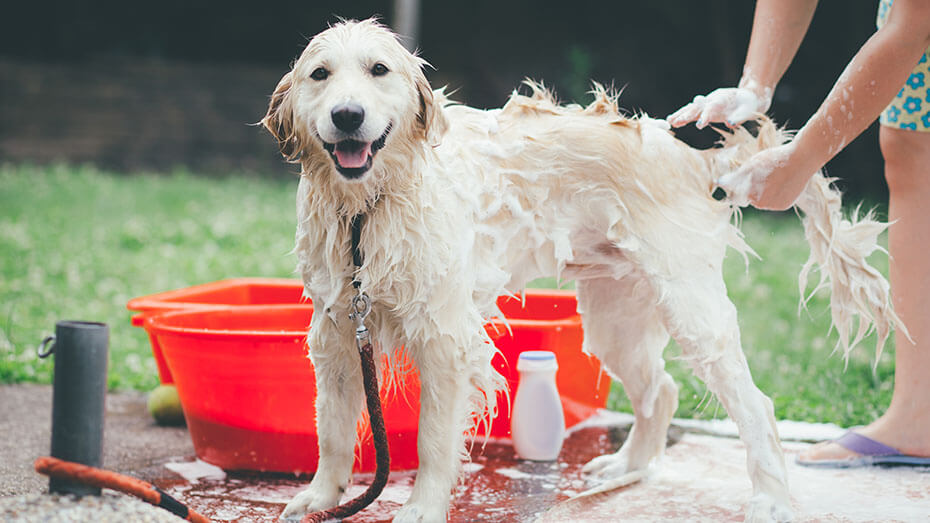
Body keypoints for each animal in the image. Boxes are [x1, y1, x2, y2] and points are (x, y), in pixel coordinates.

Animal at [264, 18, 904, 520]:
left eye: (378, 70)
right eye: (320, 75)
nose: (349, 115)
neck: (367, 210)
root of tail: (689, 156)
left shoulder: (445, 338)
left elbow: (432, 440)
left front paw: (422, 508)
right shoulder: (337, 331)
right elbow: (333, 431)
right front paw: (322, 498)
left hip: (693, 311)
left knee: (757, 408)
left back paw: (769, 499)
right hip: (616, 320)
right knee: (663, 389)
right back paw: (629, 466)